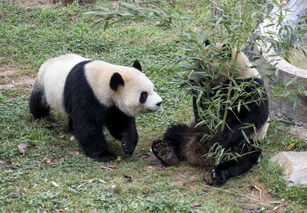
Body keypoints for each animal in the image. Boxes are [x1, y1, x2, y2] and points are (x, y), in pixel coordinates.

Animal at [30, 54, 162, 162]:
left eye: (154, 89)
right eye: (143, 95)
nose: (159, 102)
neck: (103, 79)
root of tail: (49, 60)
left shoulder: (114, 105)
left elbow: (120, 123)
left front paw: (127, 145)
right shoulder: (87, 93)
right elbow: (88, 125)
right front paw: (104, 155)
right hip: (44, 85)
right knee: (38, 102)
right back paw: (40, 116)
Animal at [153, 42, 270, 186]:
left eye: (202, 66)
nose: (190, 79)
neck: (232, 75)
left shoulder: (251, 88)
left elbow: (252, 119)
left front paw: (219, 139)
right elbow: (203, 111)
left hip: (249, 142)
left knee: (242, 156)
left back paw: (217, 173)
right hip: (192, 129)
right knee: (174, 133)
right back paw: (165, 152)